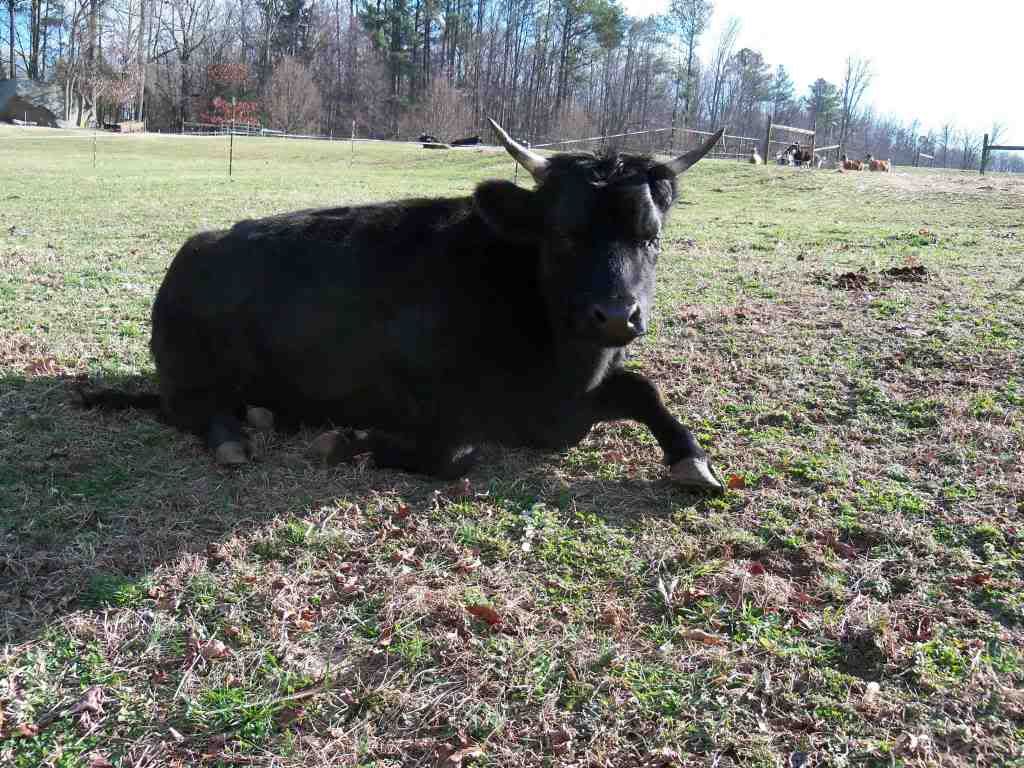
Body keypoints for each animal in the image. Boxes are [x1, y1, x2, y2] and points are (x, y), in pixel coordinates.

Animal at [78, 120, 726, 492]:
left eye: (652, 236)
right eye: (564, 234)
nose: (616, 316)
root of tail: (194, 247)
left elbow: (644, 390)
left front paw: (691, 459)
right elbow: (456, 452)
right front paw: (348, 442)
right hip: (188, 374)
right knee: (190, 410)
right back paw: (235, 438)